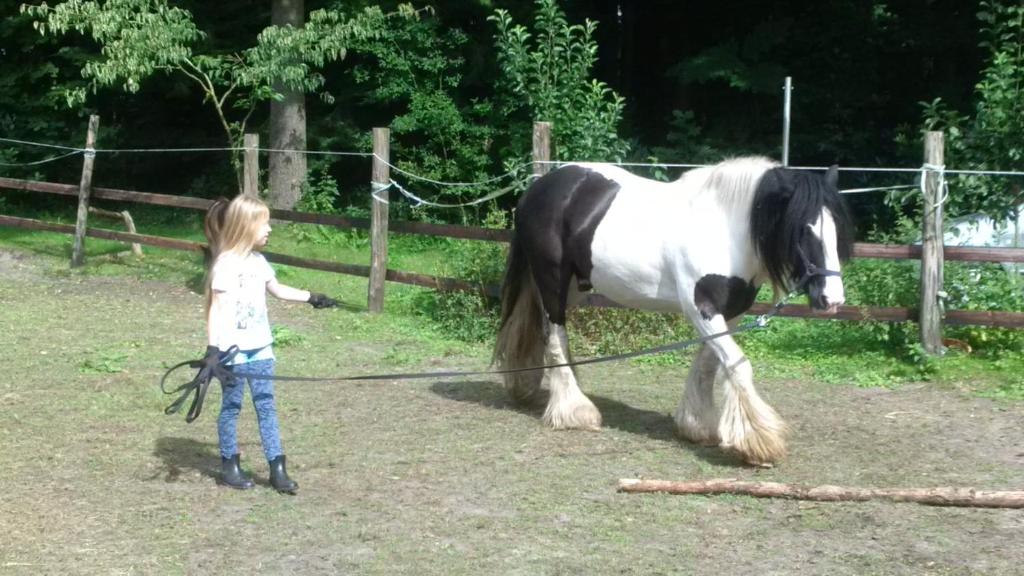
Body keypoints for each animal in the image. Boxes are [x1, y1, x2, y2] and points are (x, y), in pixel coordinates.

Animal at [491, 156, 851, 467]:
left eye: (836, 230)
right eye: (803, 229)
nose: (832, 300)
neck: (724, 229)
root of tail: (540, 186)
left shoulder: (729, 312)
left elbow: (708, 366)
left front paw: (696, 426)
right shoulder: (701, 307)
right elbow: (737, 365)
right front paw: (758, 442)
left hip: (574, 288)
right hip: (551, 280)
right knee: (554, 337)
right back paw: (575, 411)